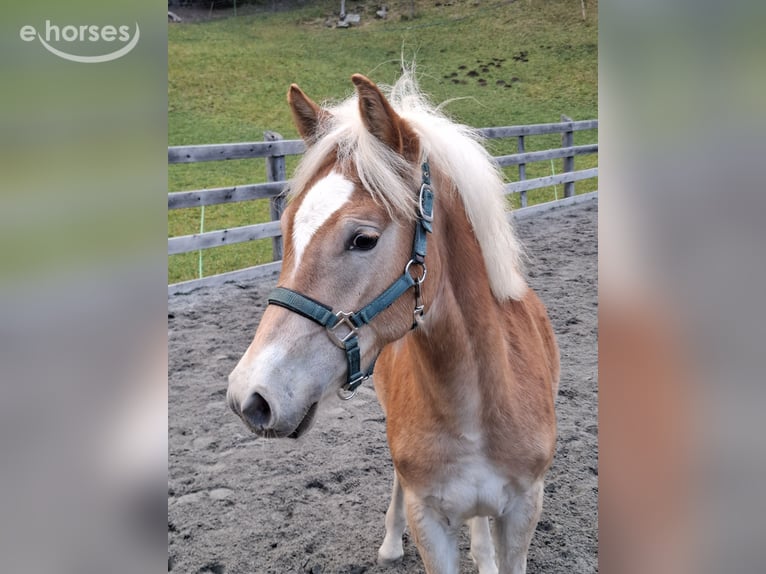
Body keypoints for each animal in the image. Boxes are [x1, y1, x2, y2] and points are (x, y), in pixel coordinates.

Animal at [227, 71, 559, 574]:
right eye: (285, 230)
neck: (476, 412)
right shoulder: (430, 521)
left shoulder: (523, 510)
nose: (249, 396)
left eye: (363, 239)